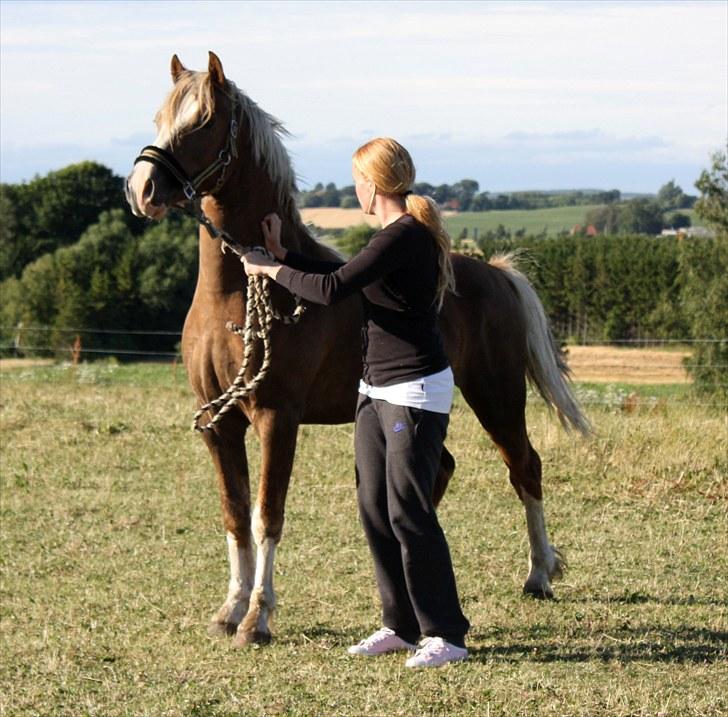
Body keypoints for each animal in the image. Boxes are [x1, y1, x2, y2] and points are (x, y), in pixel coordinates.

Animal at [126, 53, 592, 648]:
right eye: (161, 117)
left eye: (202, 122)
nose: (142, 188)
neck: (237, 296)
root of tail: (495, 272)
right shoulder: (219, 424)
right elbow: (234, 514)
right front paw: (229, 609)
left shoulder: (277, 417)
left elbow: (266, 514)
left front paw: (257, 618)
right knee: (439, 472)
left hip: (497, 395)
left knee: (524, 467)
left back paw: (538, 574)